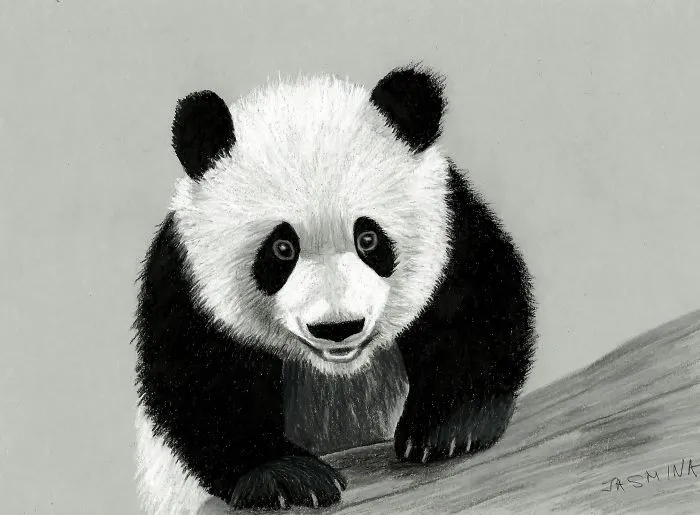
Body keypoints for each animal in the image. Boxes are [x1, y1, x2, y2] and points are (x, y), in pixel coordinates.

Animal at [133, 65, 536, 514]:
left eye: (369, 239)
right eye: (282, 249)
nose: (338, 328)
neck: (338, 369)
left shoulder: (453, 229)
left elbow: (476, 309)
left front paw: (447, 429)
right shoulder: (186, 284)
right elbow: (203, 384)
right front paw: (285, 476)